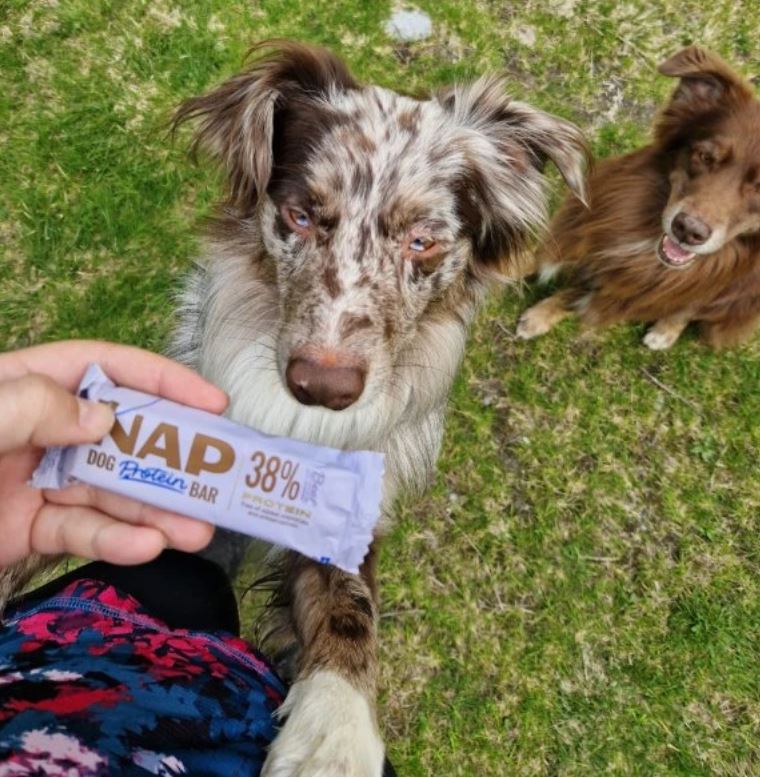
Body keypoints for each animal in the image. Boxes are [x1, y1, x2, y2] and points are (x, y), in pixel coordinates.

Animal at [517, 46, 760, 351]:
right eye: (706, 156)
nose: (688, 230)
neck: (644, 238)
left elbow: (573, 297)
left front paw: (540, 316)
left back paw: (666, 330)